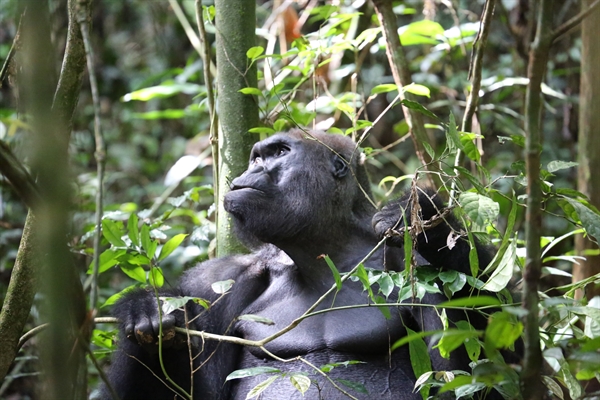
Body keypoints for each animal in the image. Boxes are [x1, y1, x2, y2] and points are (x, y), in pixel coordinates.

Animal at [102, 129, 502, 400]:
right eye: (256, 158)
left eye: (280, 152)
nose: (249, 174)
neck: (323, 254)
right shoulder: (212, 284)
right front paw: (144, 309)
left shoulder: (419, 269)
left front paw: (432, 225)